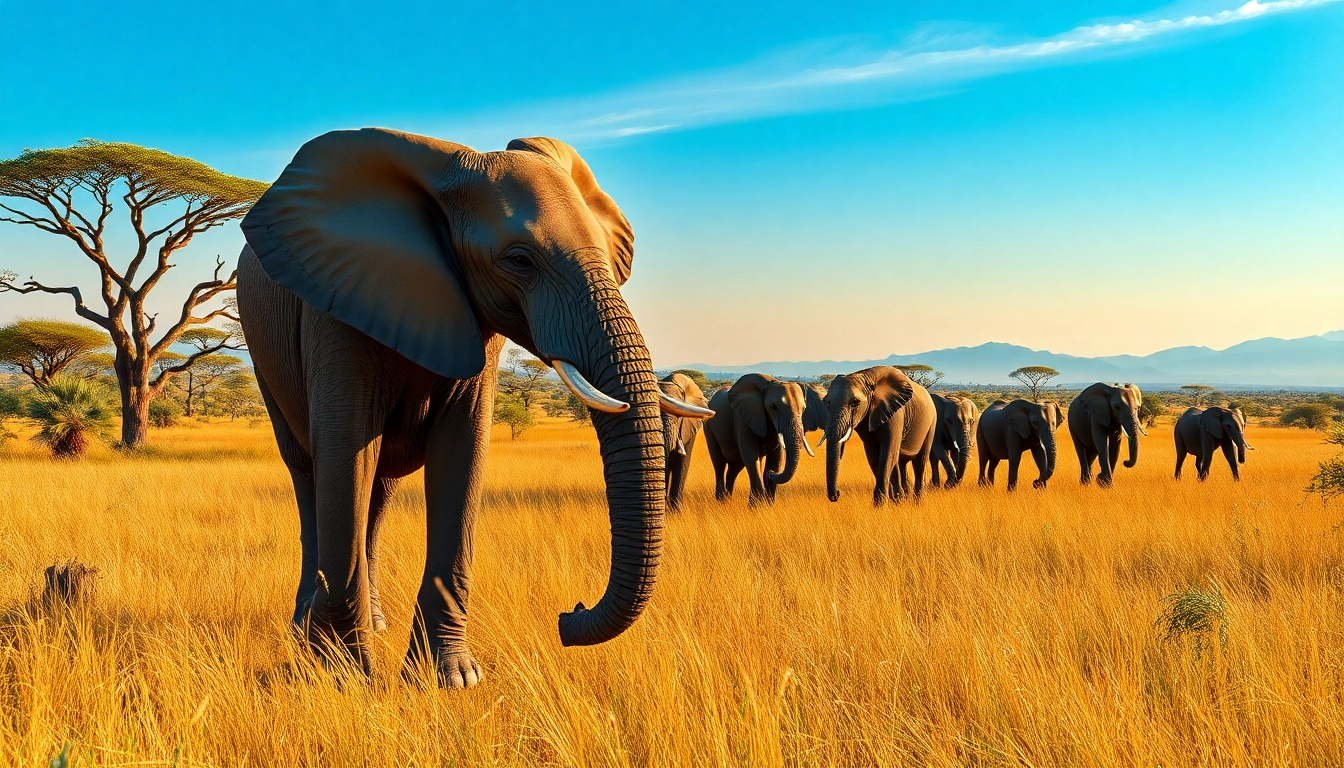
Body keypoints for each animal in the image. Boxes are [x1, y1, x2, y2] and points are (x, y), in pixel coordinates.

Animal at [703, 374, 826, 504]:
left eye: (803, 409)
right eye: (773, 407)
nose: (772, 474)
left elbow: (776, 458)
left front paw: (767, 505)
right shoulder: (742, 418)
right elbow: (751, 456)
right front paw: (756, 506)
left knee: (734, 468)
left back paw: (727, 501)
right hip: (708, 427)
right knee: (719, 464)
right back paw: (721, 501)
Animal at [822, 366, 936, 505]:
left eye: (855, 402)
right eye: (827, 403)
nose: (837, 494)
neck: (865, 376)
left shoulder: (896, 413)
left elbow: (887, 452)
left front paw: (881, 505)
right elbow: (873, 457)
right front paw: (894, 502)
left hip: (932, 422)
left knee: (920, 461)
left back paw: (917, 502)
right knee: (900, 463)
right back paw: (903, 498)